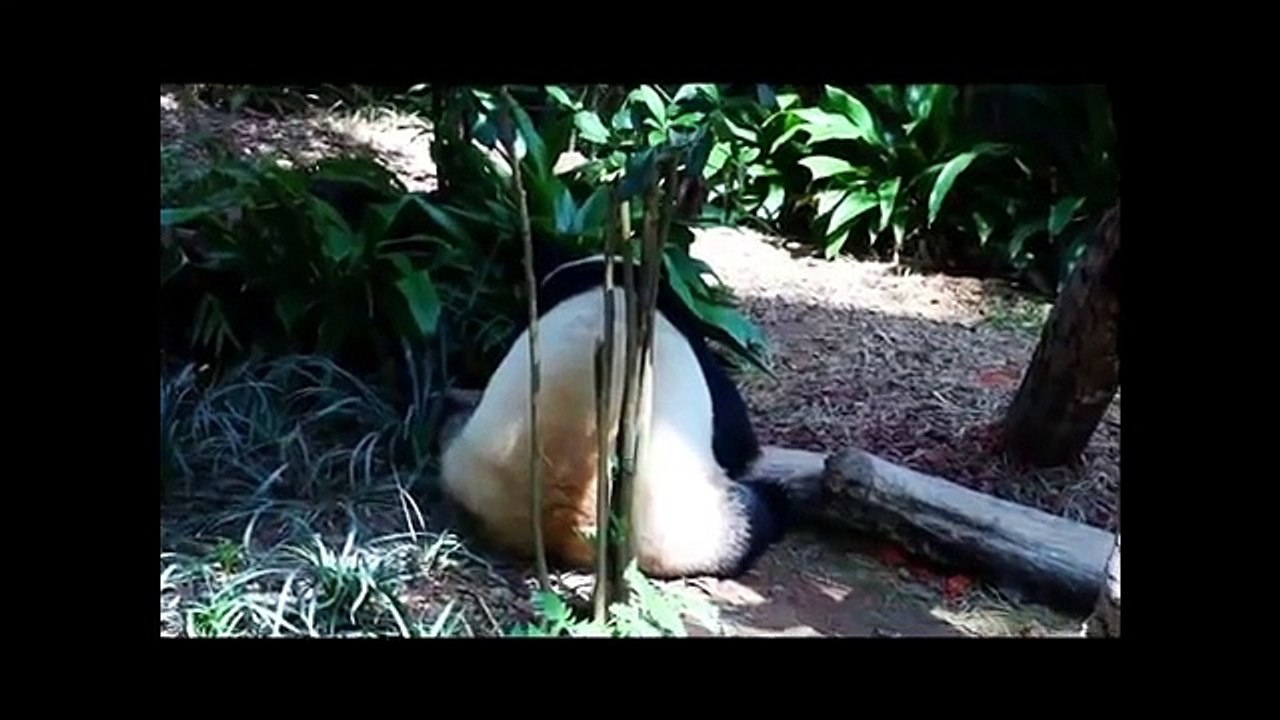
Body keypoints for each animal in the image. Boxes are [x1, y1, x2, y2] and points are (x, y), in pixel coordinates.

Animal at [439, 239, 790, 580]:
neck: (611, 284)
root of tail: (568, 517)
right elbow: (734, 431)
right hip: (681, 523)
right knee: (748, 520)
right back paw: (774, 503)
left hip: (471, 472)